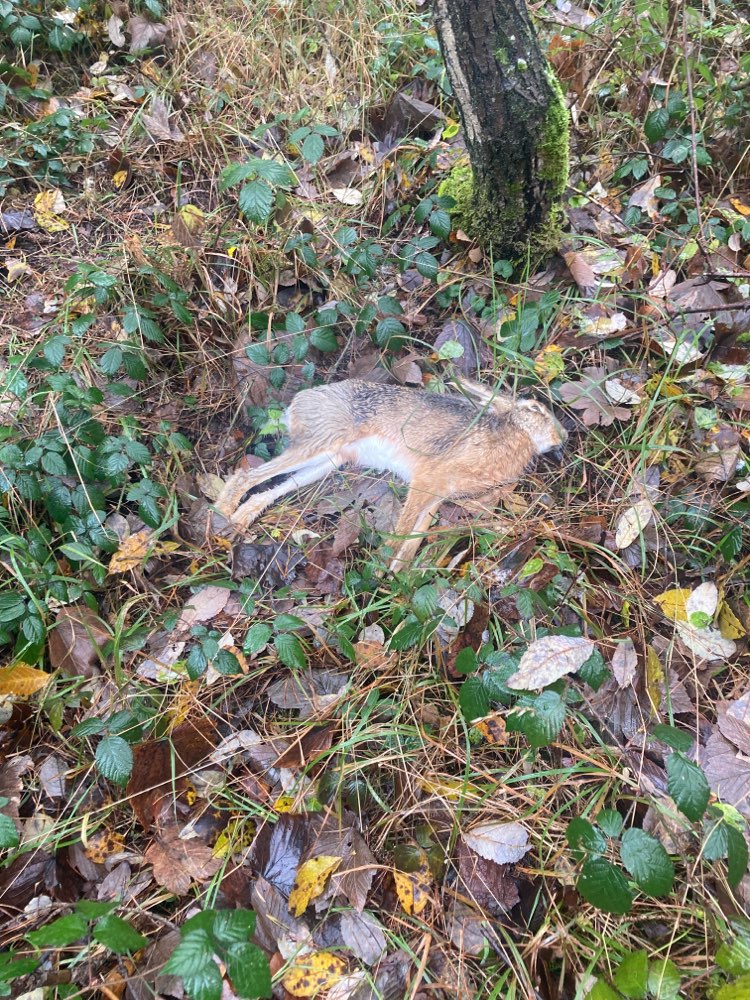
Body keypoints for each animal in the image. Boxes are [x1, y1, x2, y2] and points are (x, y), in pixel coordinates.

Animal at [214, 378, 567, 571]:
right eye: (535, 409)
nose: (563, 436)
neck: (512, 432)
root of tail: (298, 403)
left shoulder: (436, 496)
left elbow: (413, 540)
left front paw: (398, 575)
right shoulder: (426, 480)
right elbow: (403, 530)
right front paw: (383, 570)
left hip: (329, 461)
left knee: (266, 490)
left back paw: (239, 521)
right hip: (322, 442)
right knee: (246, 477)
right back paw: (221, 516)